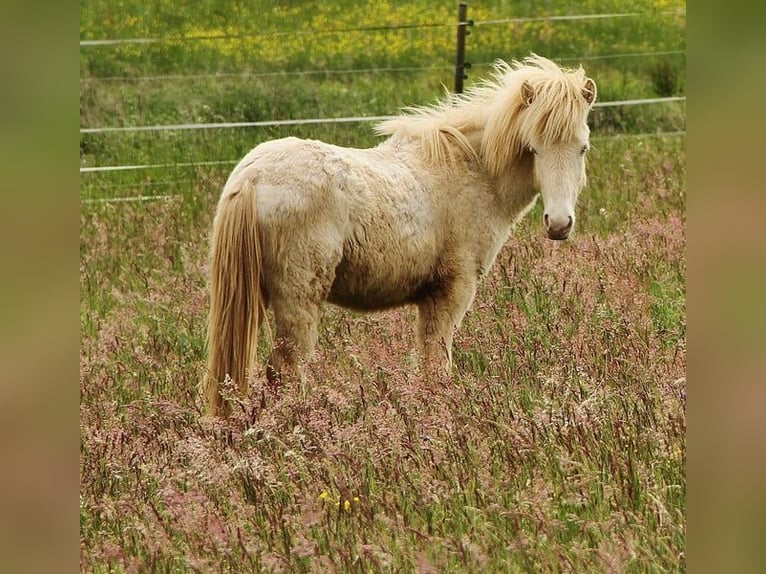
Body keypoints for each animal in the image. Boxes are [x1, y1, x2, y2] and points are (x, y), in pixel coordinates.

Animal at [204, 54, 597, 416]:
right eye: (533, 149)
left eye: (582, 148)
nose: (558, 223)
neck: (472, 170)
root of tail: (252, 178)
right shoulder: (450, 293)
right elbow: (436, 366)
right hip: (297, 300)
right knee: (285, 369)